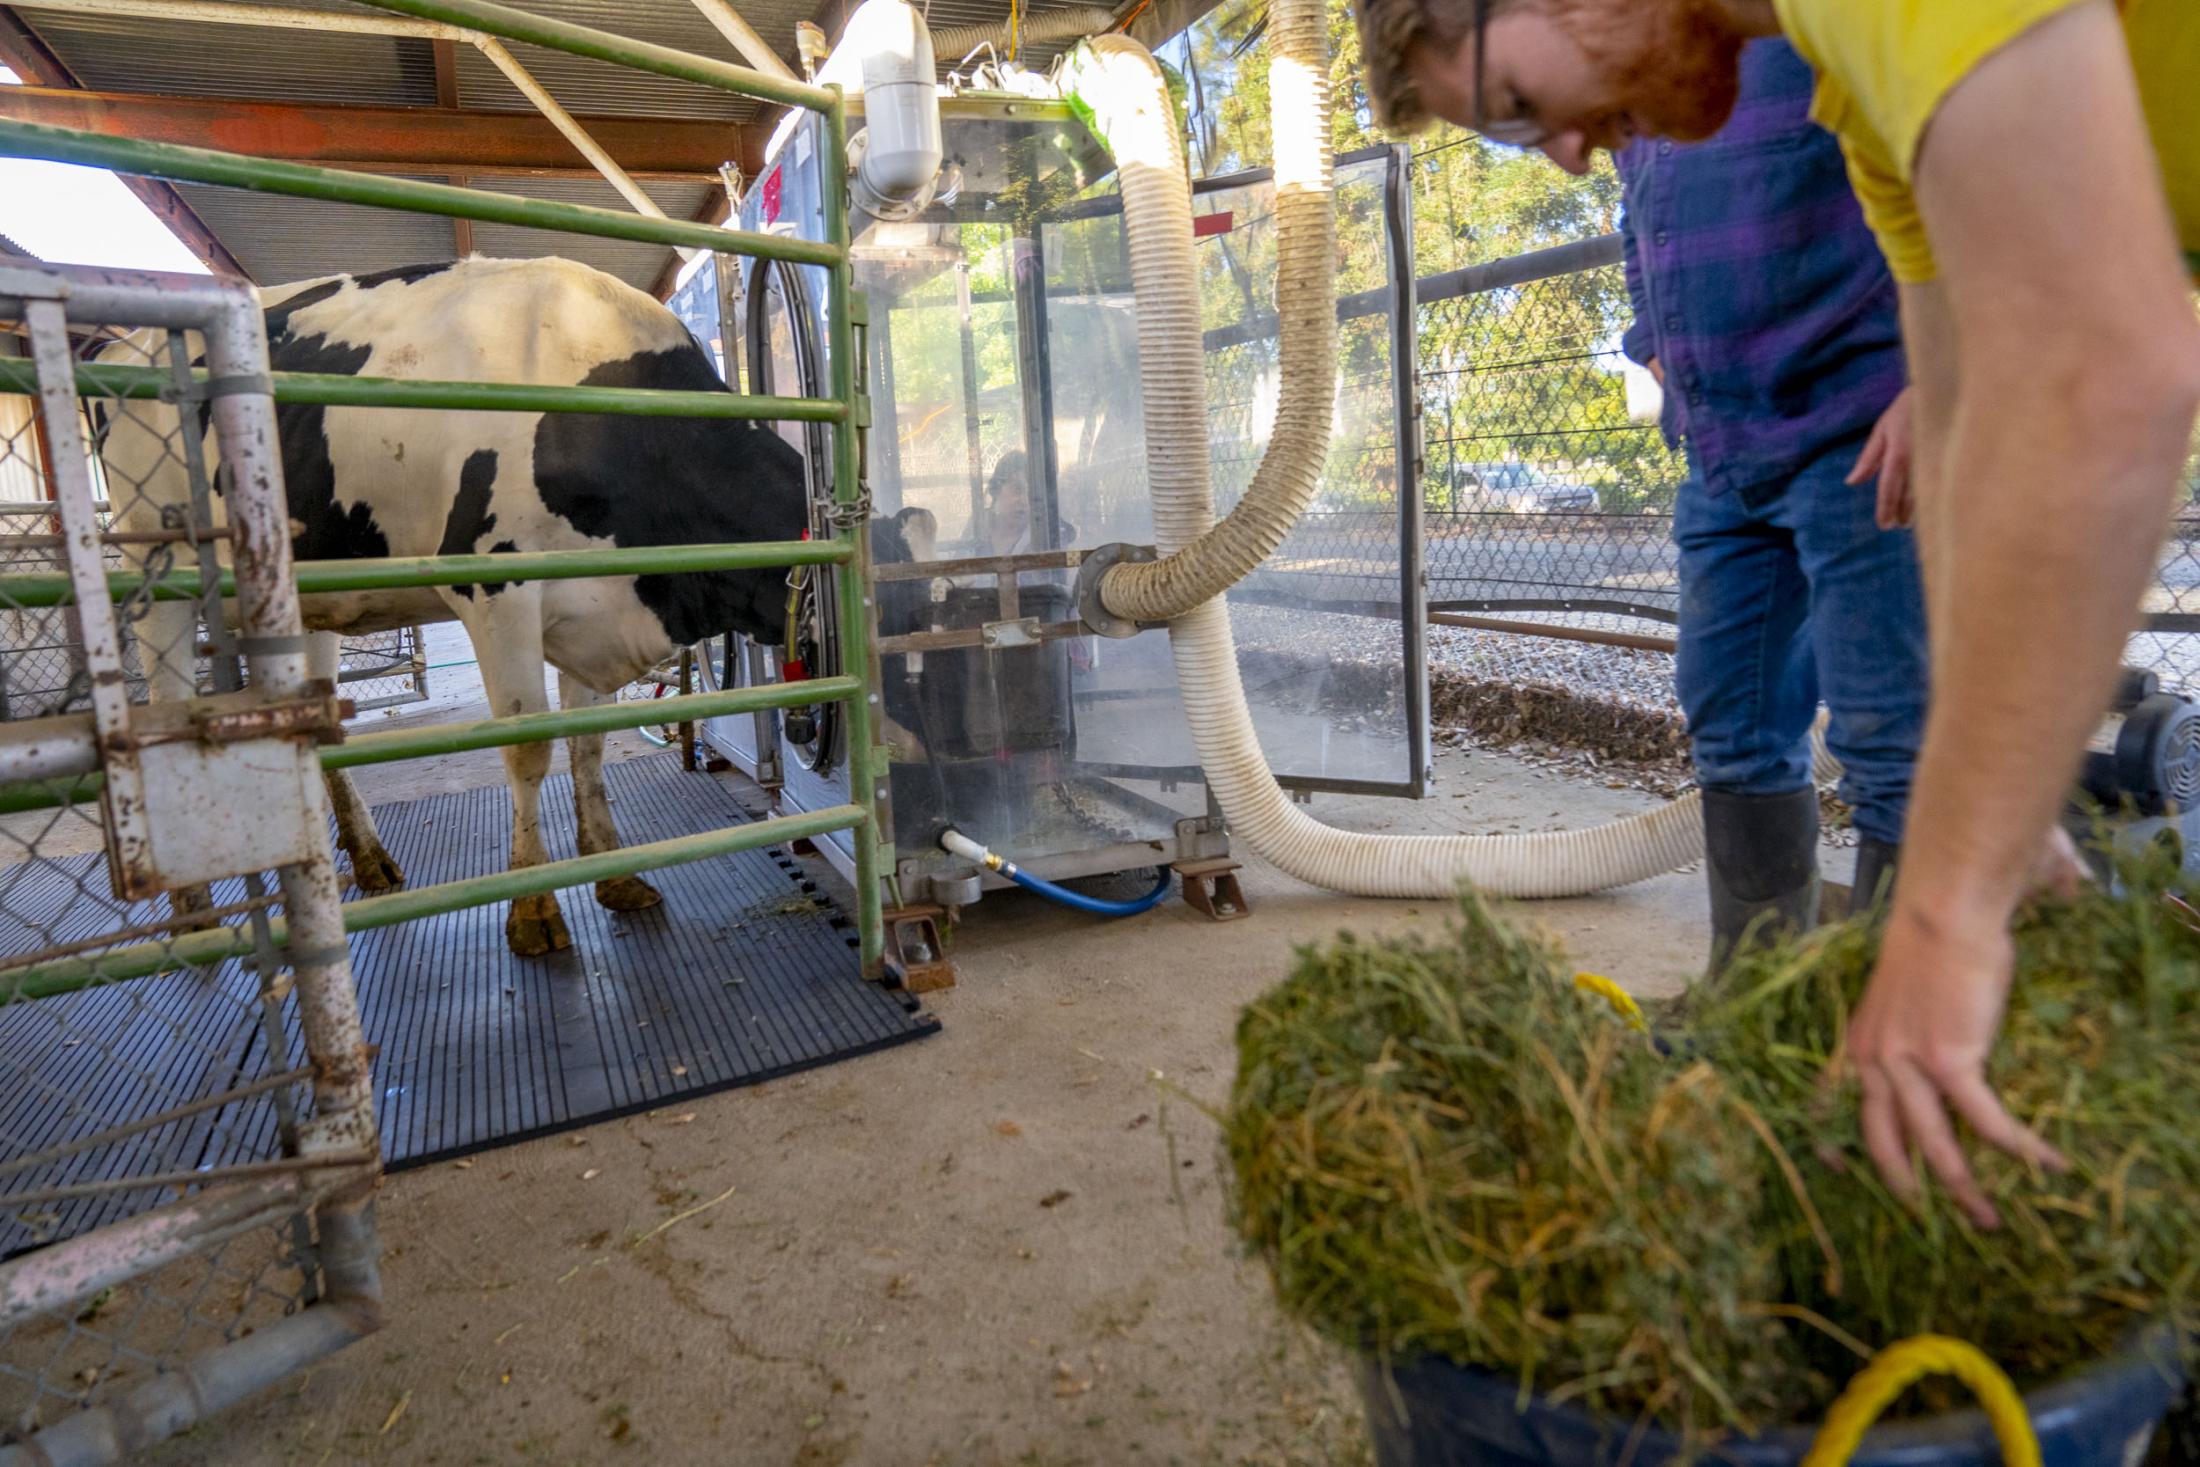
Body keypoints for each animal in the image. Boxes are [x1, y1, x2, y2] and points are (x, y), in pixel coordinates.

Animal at [101, 257, 910, 958]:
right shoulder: (497, 592)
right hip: (157, 576)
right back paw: (197, 916)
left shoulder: (595, 611)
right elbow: (529, 749)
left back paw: (367, 861)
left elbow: (588, 743)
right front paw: (535, 908)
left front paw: (613, 874)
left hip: (304, 598)